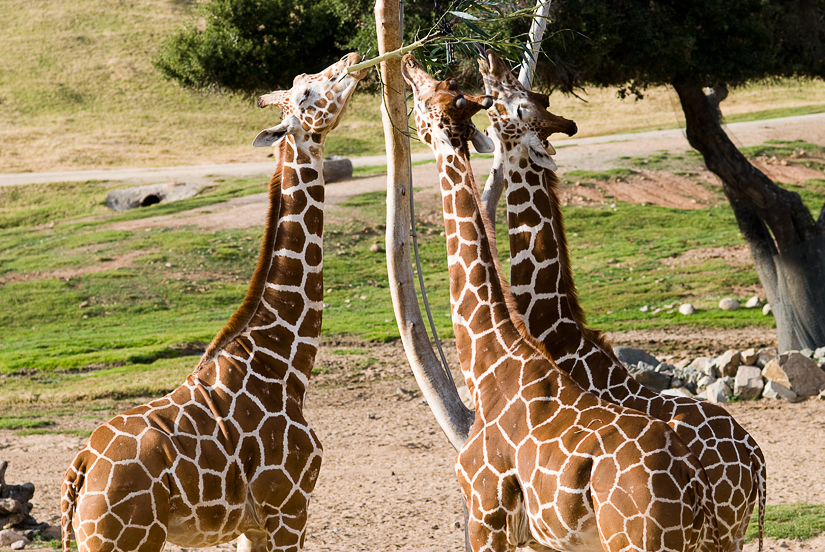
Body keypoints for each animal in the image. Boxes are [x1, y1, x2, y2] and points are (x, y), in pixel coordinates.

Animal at [60, 52, 364, 552]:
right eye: (305, 92)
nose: (352, 59)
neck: (284, 363)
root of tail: (79, 471)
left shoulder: (252, 524)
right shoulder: (288, 509)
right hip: (128, 540)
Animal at [400, 54, 720, 552]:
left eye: (428, 95)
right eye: (444, 86)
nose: (409, 61)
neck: (489, 366)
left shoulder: (485, 512)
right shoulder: (537, 536)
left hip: (637, 539)